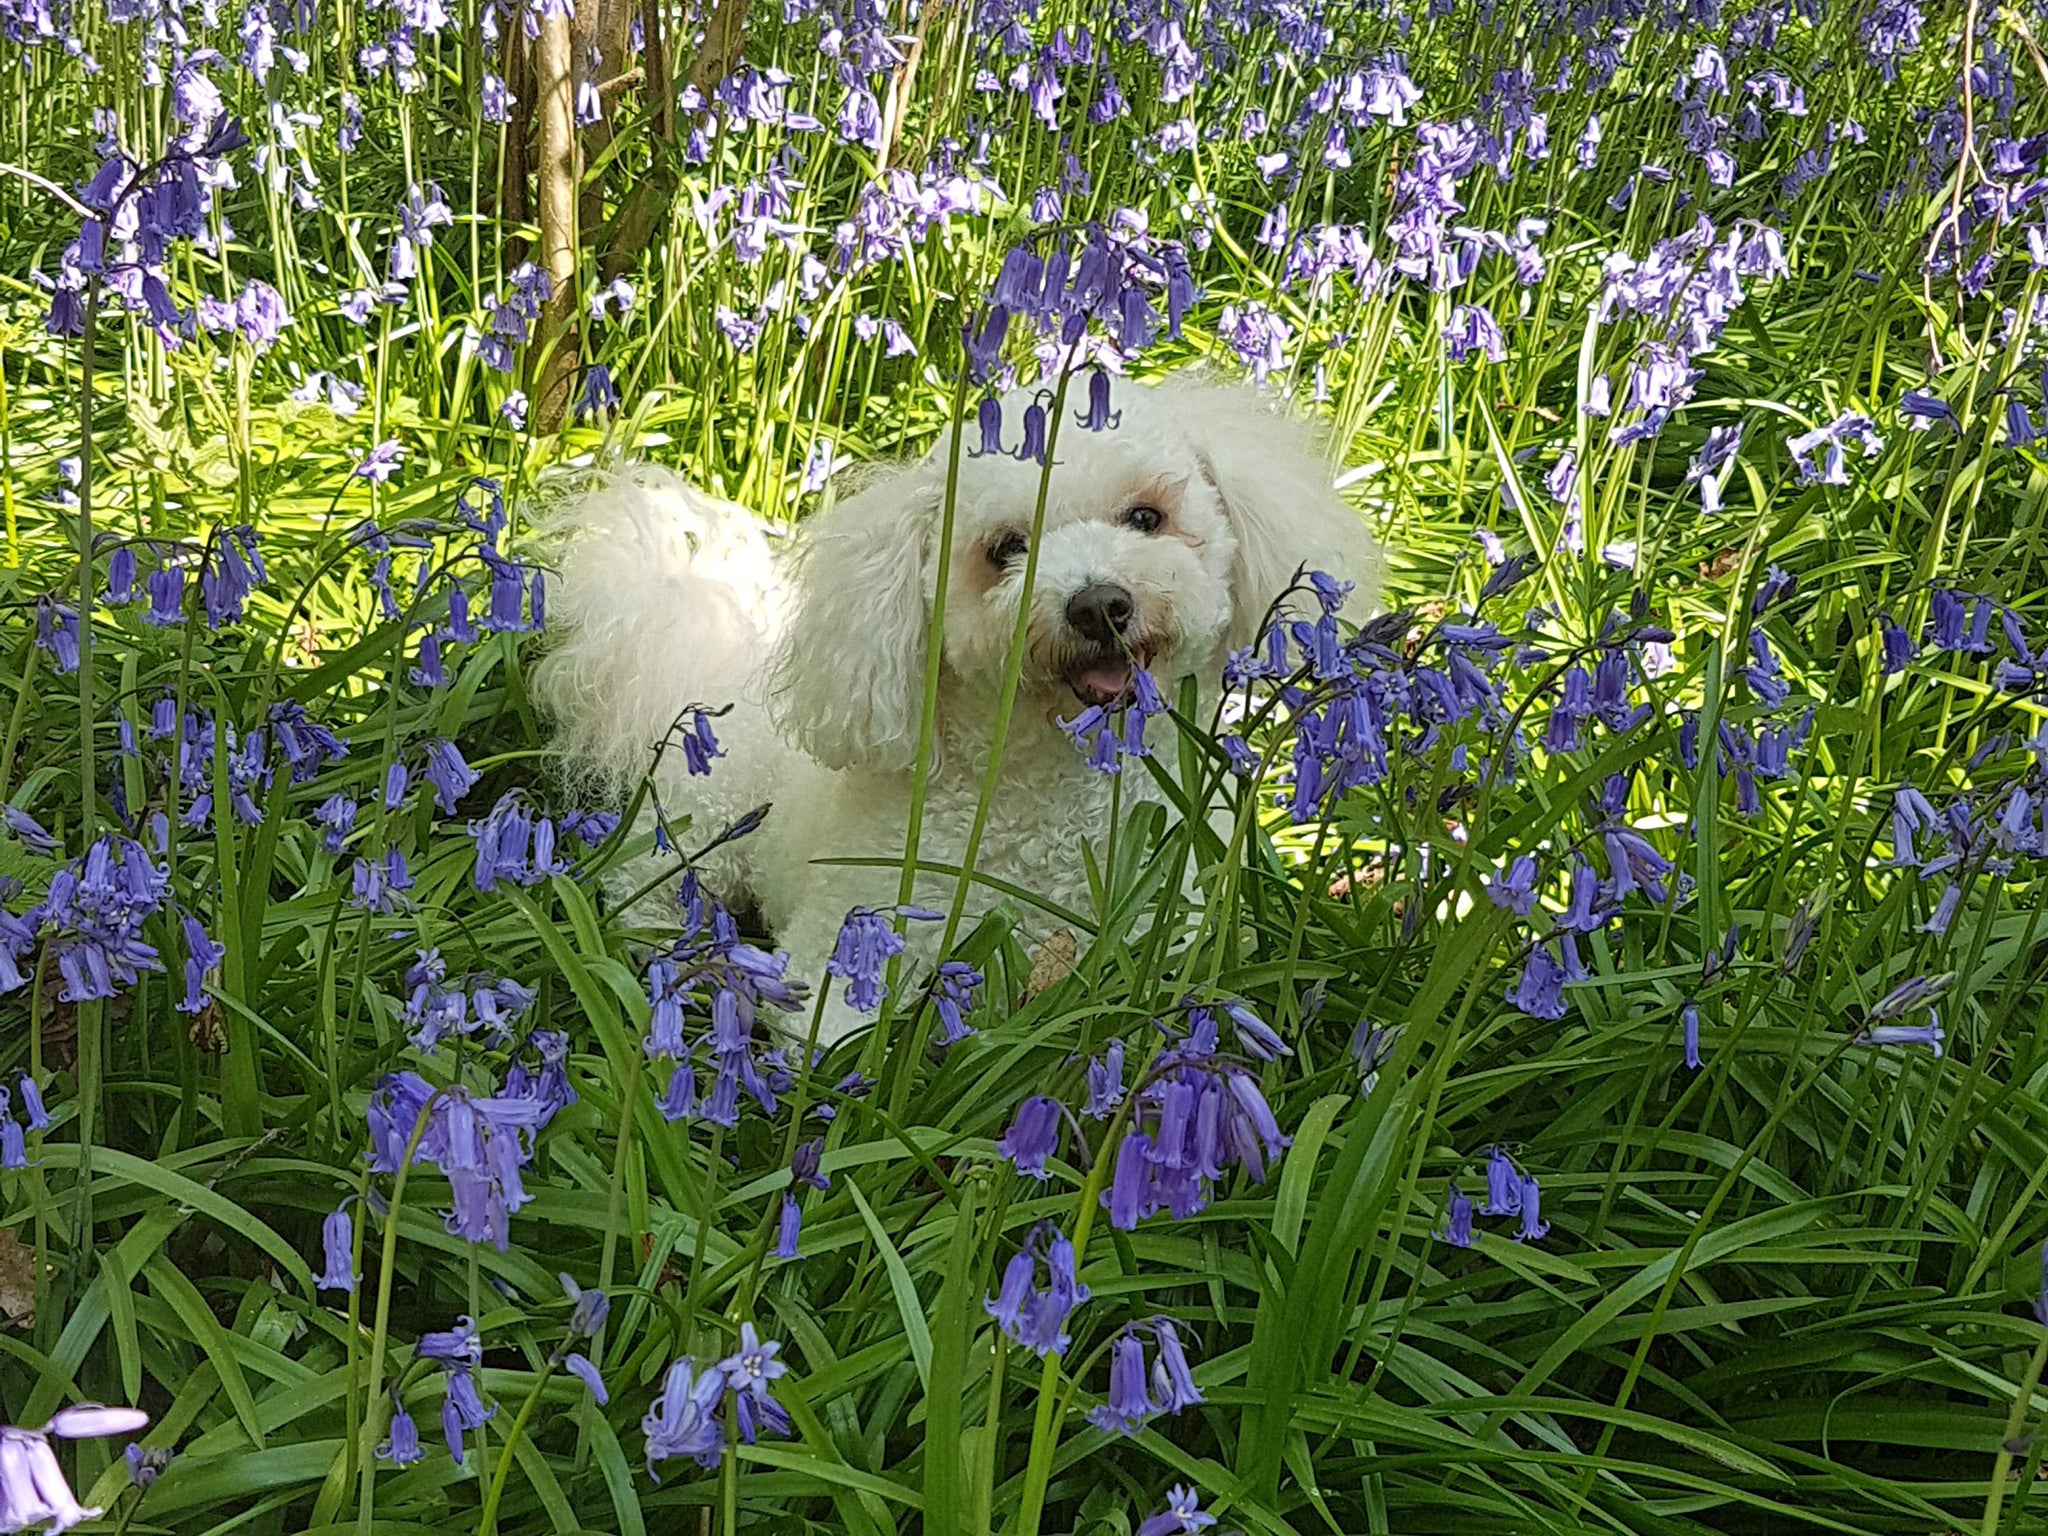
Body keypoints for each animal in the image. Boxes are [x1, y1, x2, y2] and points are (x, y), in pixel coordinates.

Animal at [536, 376, 1384, 1048]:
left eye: (1146, 518)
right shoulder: (856, 932)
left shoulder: (1151, 943)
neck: (1054, 797)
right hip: (701, 841)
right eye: (1004, 549)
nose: (1099, 605)